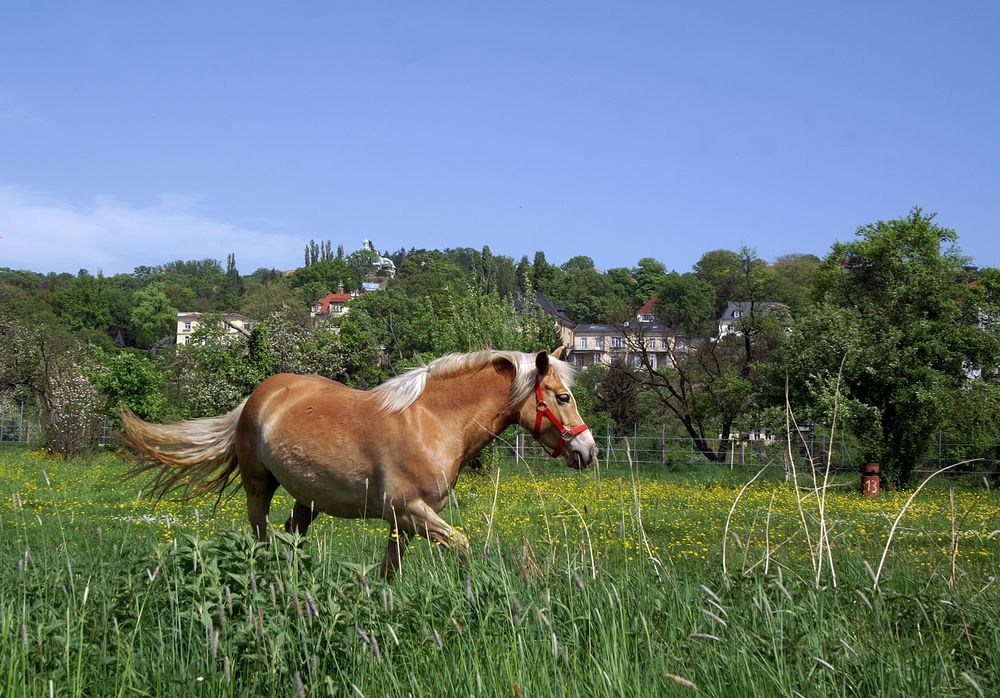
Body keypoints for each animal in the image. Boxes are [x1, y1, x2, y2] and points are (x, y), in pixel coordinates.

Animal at [121, 346, 596, 576]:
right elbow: (461, 545)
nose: (587, 451)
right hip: (260, 487)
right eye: (563, 397)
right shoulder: (410, 511)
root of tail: (258, 396)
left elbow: (389, 572)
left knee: (292, 539)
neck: (432, 421)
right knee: (261, 536)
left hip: (307, 499)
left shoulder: (405, 521)